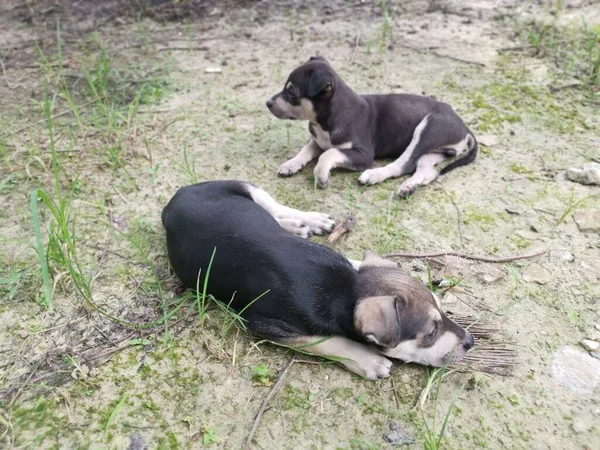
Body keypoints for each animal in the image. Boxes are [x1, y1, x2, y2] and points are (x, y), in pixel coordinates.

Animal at [162, 181, 476, 378]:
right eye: (431, 333)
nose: (470, 342)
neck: (345, 288)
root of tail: (172, 202)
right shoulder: (267, 326)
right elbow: (327, 341)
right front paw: (368, 360)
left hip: (248, 189)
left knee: (275, 209)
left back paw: (308, 223)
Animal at [268, 56, 478, 197]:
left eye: (292, 92)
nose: (267, 103)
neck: (324, 123)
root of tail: (465, 128)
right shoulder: (318, 141)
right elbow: (306, 150)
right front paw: (291, 164)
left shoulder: (363, 154)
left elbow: (329, 153)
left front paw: (321, 175)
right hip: (435, 152)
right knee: (427, 170)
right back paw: (408, 187)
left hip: (428, 128)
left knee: (404, 164)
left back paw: (374, 175)